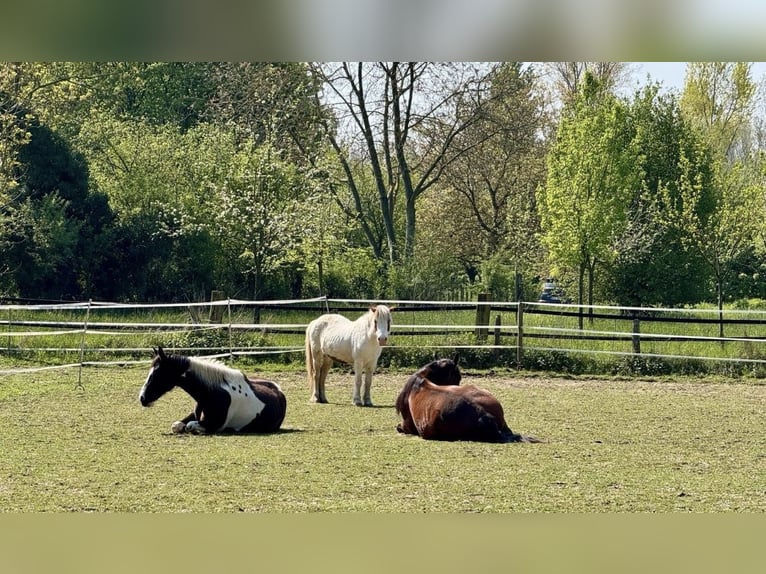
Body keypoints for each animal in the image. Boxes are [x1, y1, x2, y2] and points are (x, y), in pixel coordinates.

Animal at [138, 347, 287, 434]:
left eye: (157, 373)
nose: (142, 398)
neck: (211, 394)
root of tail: (279, 391)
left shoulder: (213, 425)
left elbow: (189, 426)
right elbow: (176, 426)